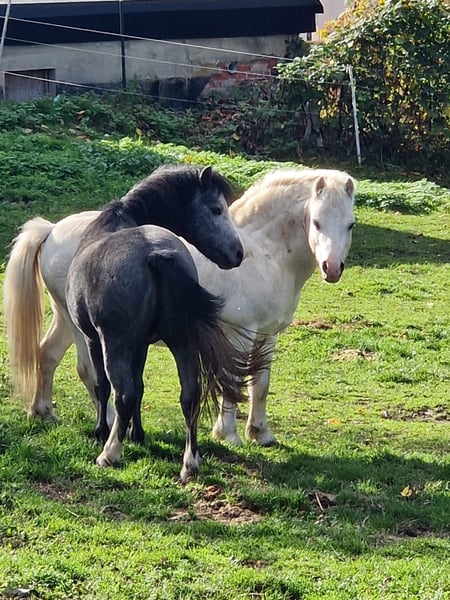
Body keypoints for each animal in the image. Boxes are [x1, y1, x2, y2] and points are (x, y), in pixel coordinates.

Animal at [4, 167, 355, 448]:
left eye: (350, 225)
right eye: (317, 222)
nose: (332, 268)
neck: (264, 254)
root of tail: (51, 230)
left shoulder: (268, 335)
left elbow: (261, 385)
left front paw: (261, 434)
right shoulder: (240, 334)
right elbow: (232, 382)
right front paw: (228, 435)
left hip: (66, 319)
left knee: (47, 354)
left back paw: (44, 412)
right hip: (83, 329)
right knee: (89, 372)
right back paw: (110, 428)